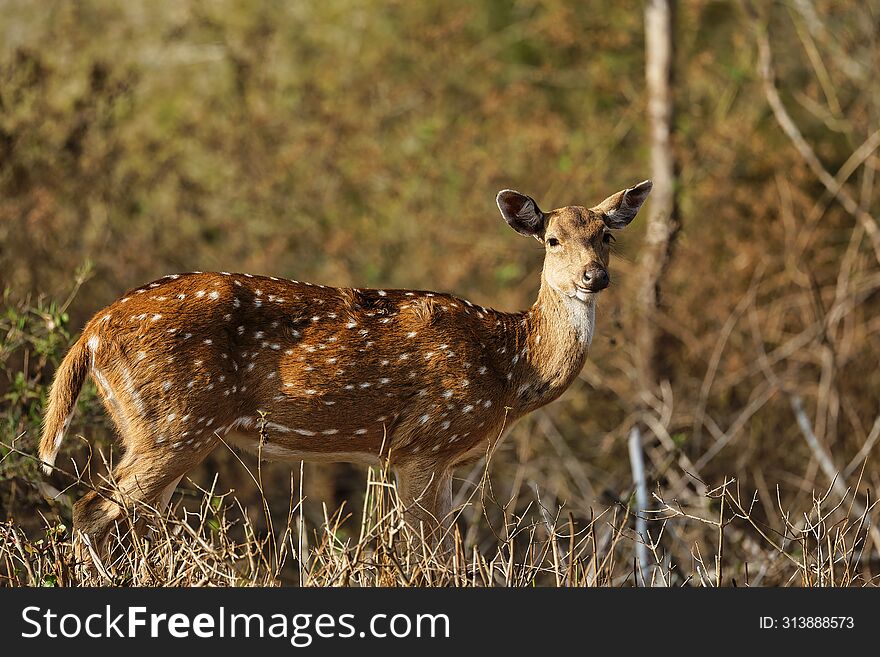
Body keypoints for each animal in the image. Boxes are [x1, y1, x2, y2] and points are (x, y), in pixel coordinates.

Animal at [41, 179, 652, 548]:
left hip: (159, 426)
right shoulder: (422, 443)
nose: (594, 276)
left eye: (606, 236)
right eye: (551, 240)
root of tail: (91, 332)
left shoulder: (440, 460)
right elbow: (430, 552)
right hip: (173, 421)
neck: (509, 369)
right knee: (91, 508)